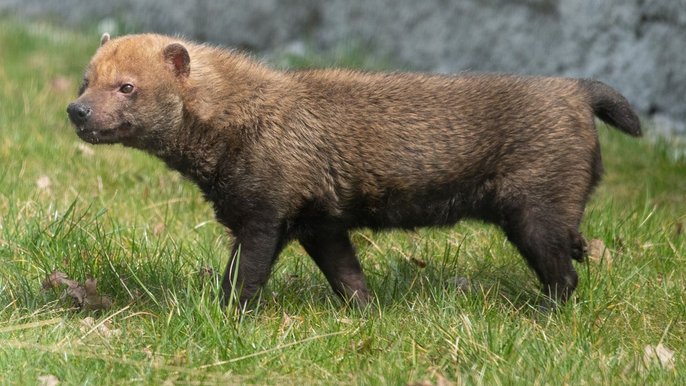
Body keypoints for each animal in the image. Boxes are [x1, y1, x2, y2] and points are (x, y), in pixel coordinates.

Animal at [67, 34, 644, 310]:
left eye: (127, 86)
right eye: (84, 78)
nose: (77, 111)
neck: (245, 118)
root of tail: (577, 90)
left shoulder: (265, 212)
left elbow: (244, 278)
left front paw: (224, 317)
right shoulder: (319, 222)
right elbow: (348, 277)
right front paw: (366, 312)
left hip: (534, 210)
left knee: (564, 276)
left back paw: (545, 314)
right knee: (575, 249)